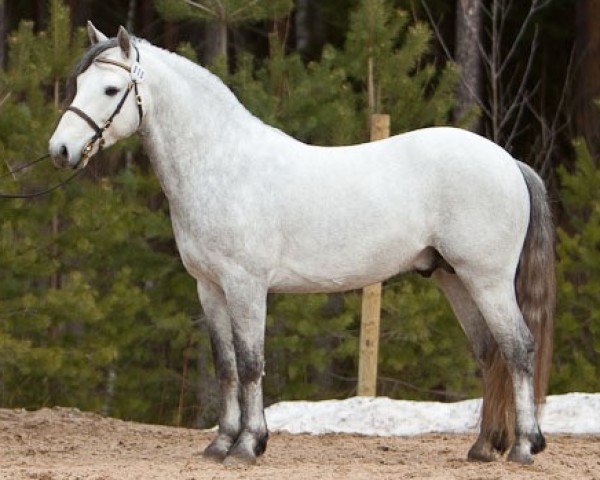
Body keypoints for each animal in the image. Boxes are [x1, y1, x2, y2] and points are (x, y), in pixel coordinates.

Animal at [48, 24, 552, 466]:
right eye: (78, 84)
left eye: (110, 89)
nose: (61, 151)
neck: (222, 164)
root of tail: (508, 161)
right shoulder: (209, 287)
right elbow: (225, 365)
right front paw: (221, 444)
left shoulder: (246, 285)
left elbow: (251, 363)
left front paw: (249, 445)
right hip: (454, 279)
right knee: (490, 353)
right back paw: (484, 447)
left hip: (487, 279)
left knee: (518, 349)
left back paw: (524, 447)